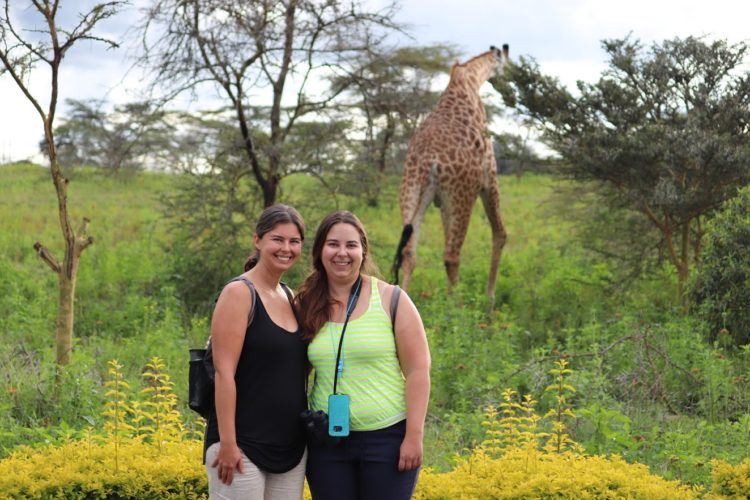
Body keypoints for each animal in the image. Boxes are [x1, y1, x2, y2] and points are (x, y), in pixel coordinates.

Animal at [394, 45, 512, 302]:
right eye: (508, 66)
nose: (509, 88)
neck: (470, 78)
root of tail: (429, 162)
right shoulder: (489, 176)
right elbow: (500, 234)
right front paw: (489, 298)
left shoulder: (442, 200)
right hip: (463, 195)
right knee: (451, 255)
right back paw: (458, 304)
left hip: (413, 191)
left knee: (409, 251)